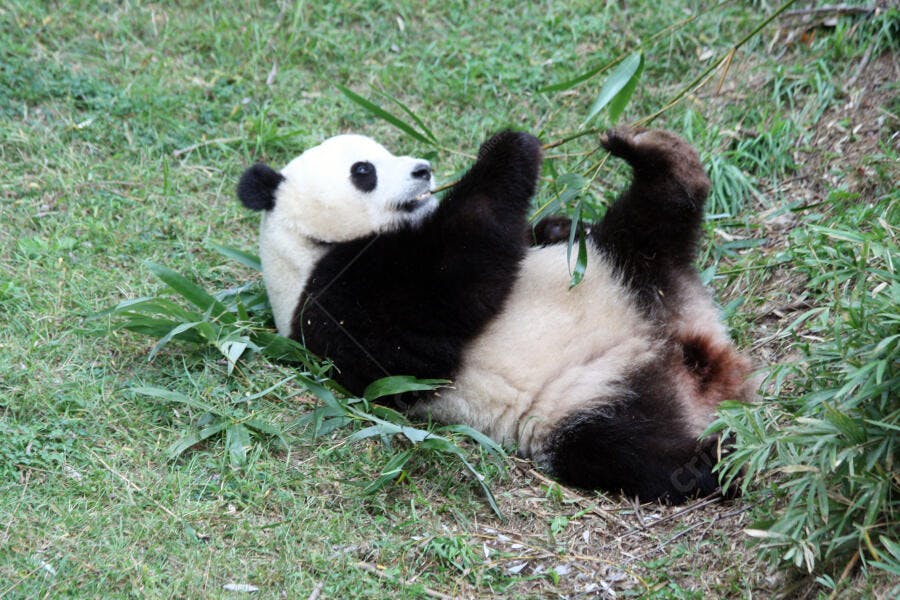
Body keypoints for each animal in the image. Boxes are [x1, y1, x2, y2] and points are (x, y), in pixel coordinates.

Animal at [237, 128, 756, 503]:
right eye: (363, 171)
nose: (423, 171)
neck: (304, 247)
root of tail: (692, 345)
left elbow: (539, 237)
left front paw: (555, 223)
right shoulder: (336, 301)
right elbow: (442, 291)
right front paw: (509, 149)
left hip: (624, 270)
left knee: (650, 223)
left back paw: (655, 154)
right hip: (586, 395)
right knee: (631, 451)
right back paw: (722, 457)